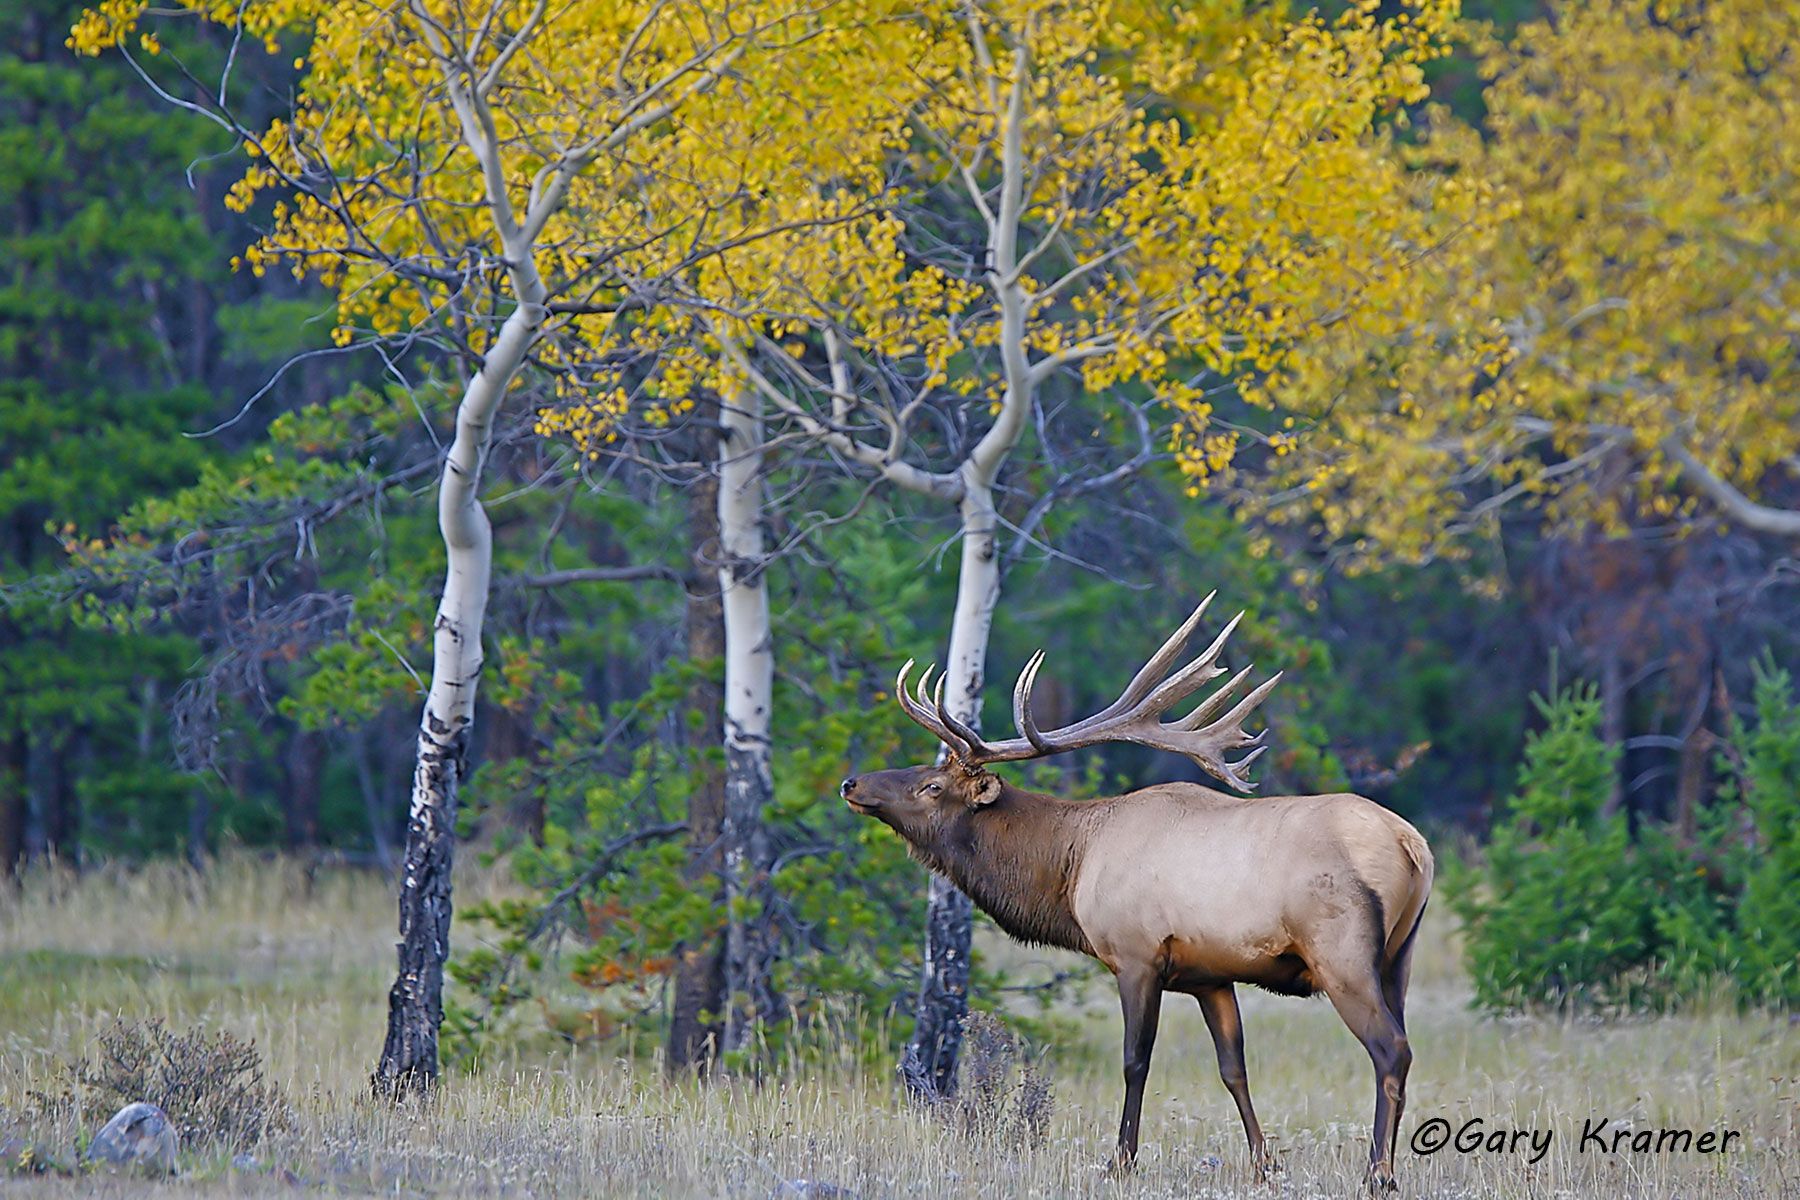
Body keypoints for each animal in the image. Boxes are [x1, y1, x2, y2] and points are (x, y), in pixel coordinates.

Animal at [839, 593, 1433, 1191]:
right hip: (1399, 958)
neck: (1071, 868)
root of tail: (1412, 844)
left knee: (1393, 1051)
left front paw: (1120, 1160)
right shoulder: (1211, 976)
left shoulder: (1136, 955)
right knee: (1400, 1046)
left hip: (1341, 953)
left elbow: (1135, 1062)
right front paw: (1264, 1165)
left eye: (932, 785)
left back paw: (1378, 1174)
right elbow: (1233, 1069)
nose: (852, 783)